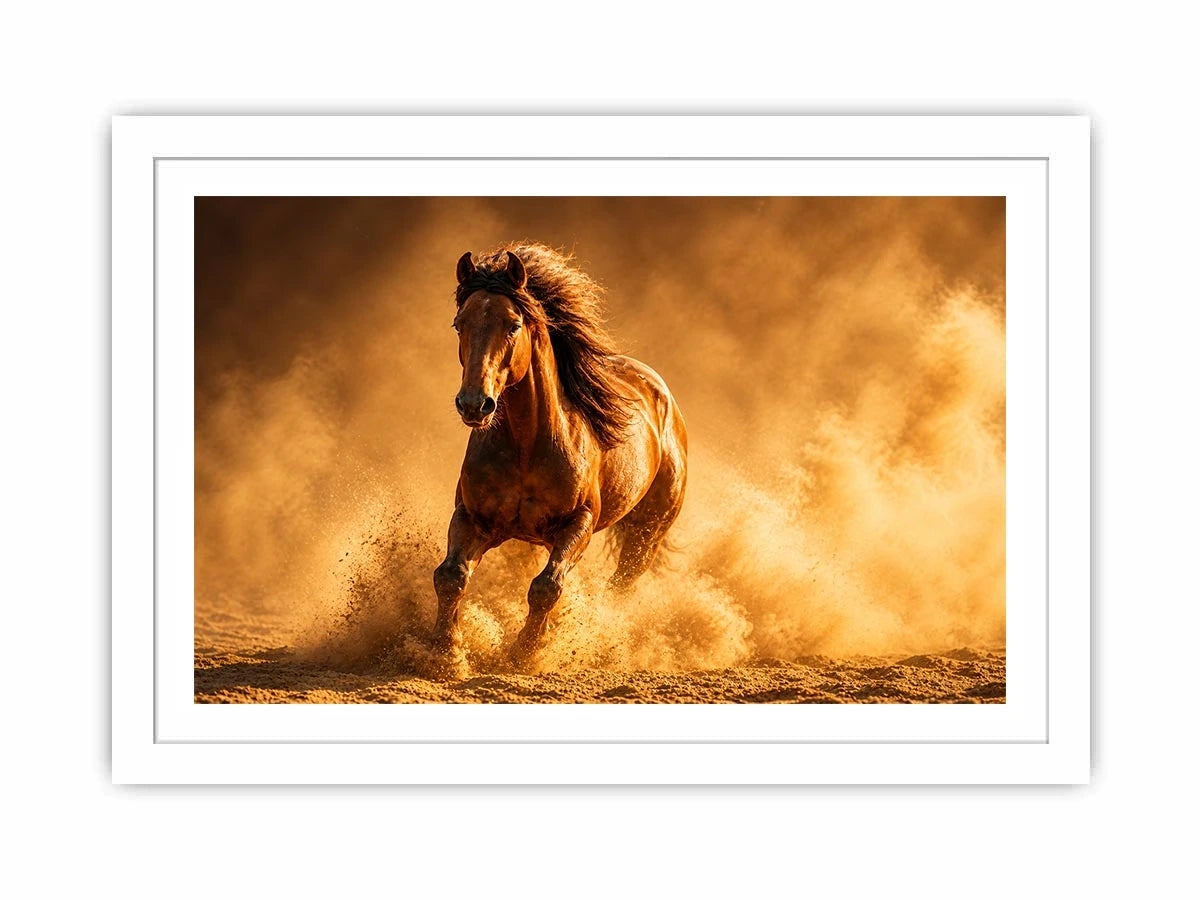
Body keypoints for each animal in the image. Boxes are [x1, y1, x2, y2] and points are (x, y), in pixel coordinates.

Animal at [432, 243, 688, 664]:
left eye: (513, 325)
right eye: (459, 323)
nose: (473, 404)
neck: (527, 444)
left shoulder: (578, 523)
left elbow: (547, 586)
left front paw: (524, 652)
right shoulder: (472, 517)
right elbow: (450, 575)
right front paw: (446, 651)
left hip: (646, 534)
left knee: (619, 588)